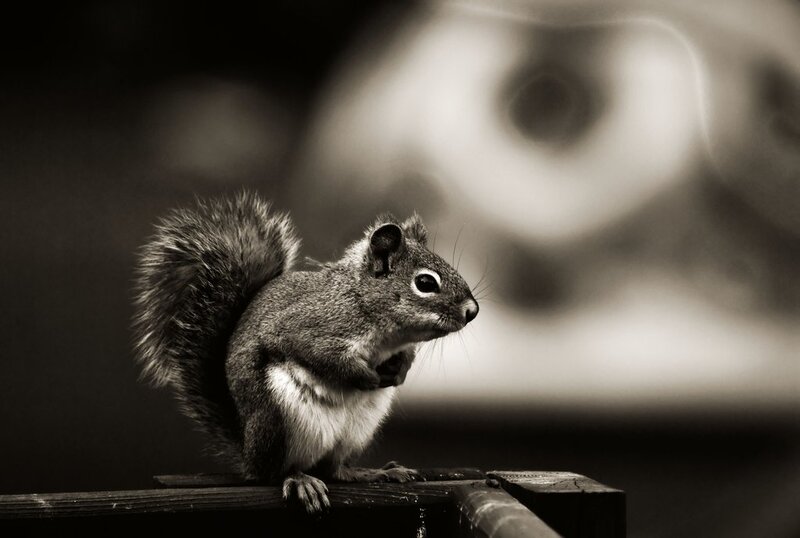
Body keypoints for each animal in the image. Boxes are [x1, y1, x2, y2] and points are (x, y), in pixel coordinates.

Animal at [132, 192, 479, 512]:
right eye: (425, 283)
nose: (472, 311)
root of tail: (248, 452)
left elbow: (405, 358)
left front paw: (398, 371)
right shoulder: (306, 327)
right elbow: (321, 355)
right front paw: (364, 377)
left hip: (356, 431)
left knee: (335, 470)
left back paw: (371, 473)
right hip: (281, 421)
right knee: (276, 473)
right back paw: (299, 480)